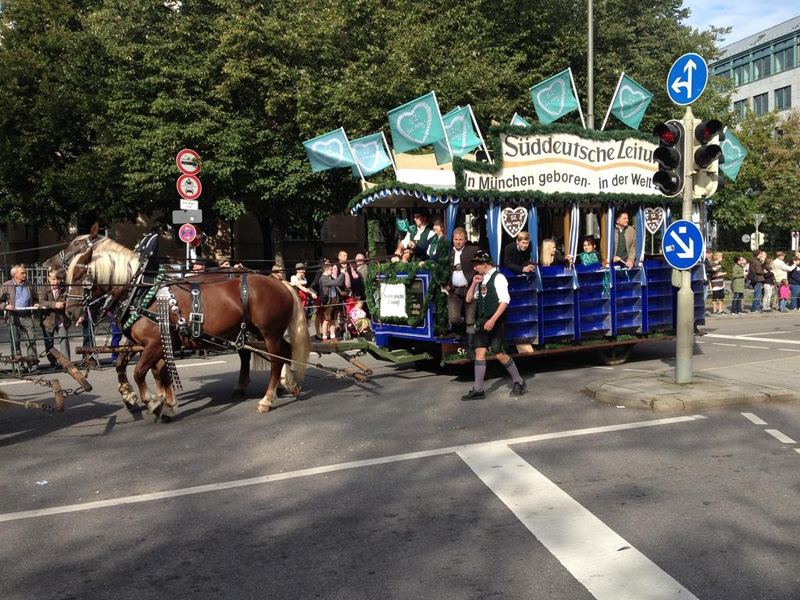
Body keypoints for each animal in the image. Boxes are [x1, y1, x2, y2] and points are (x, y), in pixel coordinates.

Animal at [57, 231, 310, 418]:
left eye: (79, 277)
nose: (69, 311)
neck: (140, 290)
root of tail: (280, 282)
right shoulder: (148, 343)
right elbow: (133, 366)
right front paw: (145, 399)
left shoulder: (156, 343)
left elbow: (141, 372)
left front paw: (152, 402)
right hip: (254, 331)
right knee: (277, 352)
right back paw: (288, 384)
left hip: (269, 332)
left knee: (276, 359)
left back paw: (267, 398)